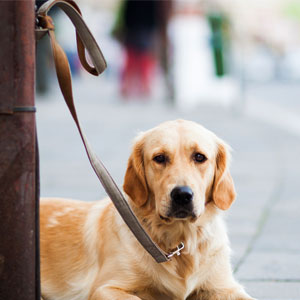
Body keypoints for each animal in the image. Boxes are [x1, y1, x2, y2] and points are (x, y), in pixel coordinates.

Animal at [41, 119, 254, 300]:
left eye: (199, 157)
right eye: (159, 158)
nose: (182, 195)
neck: (180, 241)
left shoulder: (225, 287)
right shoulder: (105, 288)